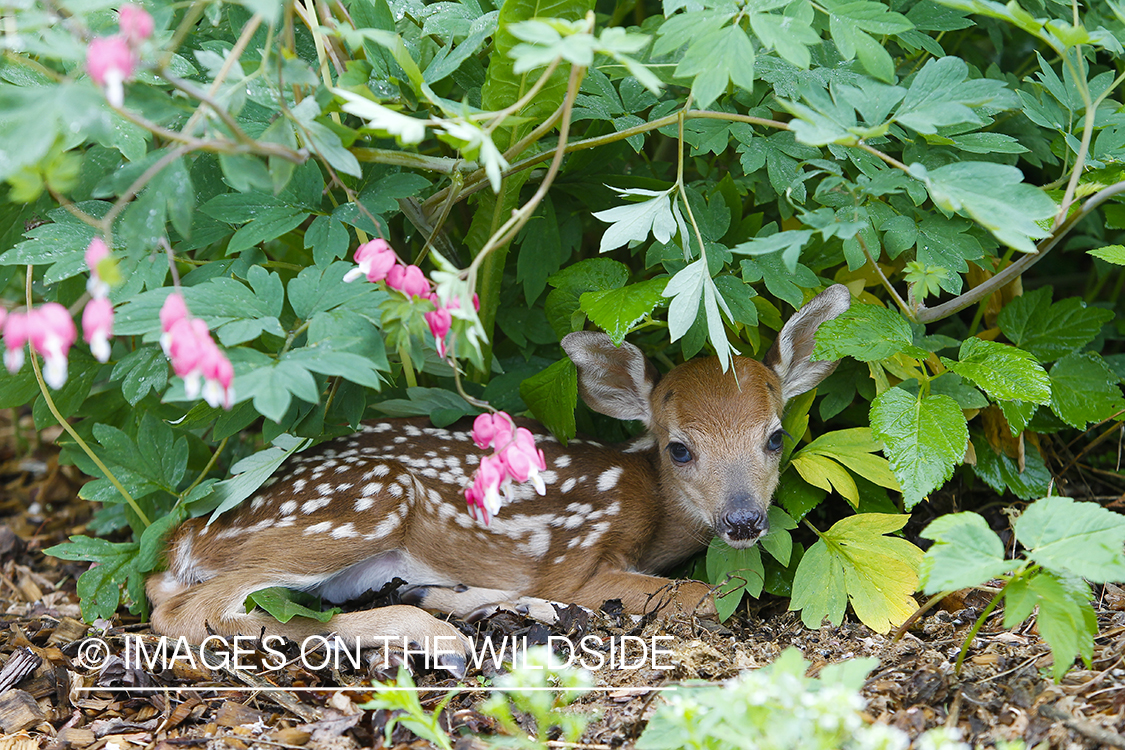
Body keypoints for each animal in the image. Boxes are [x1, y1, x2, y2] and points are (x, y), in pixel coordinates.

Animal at [146, 284, 851, 675]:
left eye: (775, 436)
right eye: (679, 449)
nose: (744, 519)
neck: (651, 511)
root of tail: (188, 535)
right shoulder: (578, 562)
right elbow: (707, 596)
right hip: (359, 507)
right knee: (187, 612)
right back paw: (445, 636)